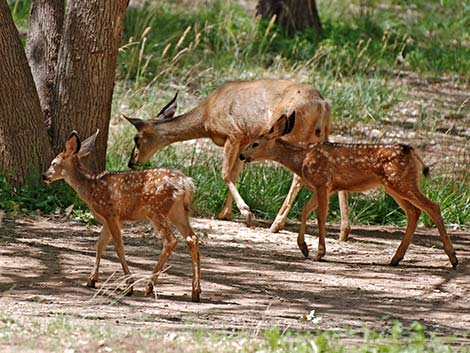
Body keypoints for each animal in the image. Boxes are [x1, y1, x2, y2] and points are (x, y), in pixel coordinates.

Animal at [41, 129, 200, 300]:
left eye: (53, 163)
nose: (44, 176)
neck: (90, 187)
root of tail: (186, 184)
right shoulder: (107, 219)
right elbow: (99, 245)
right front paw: (91, 280)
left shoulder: (111, 214)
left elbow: (118, 247)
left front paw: (129, 285)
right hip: (178, 211)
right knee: (192, 238)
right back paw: (195, 291)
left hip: (155, 210)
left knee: (171, 240)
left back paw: (149, 286)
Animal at [123, 78, 350, 238]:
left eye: (136, 139)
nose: (131, 162)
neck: (206, 117)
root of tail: (323, 103)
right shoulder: (245, 141)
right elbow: (234, 173)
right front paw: (225, 213)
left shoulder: (233, 134)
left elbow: (225, 173)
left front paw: (246, 213)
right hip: (323, 132)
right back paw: (344, 230)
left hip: (295, 132)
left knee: (299, 174)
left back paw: (277, 224)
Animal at [241, 113, 458, 266]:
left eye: (255, 143)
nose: (242, 155)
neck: (302, 159)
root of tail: (410, 150)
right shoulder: (325, 187)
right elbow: (304, 210)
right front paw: (303, 248)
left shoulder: (322, 182)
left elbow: (320, 215)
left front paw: (319, 253)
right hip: (394, 186)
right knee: (414, 212)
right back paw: (396, 258)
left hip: (401, 182)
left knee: (432, 207)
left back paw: (453, 259)